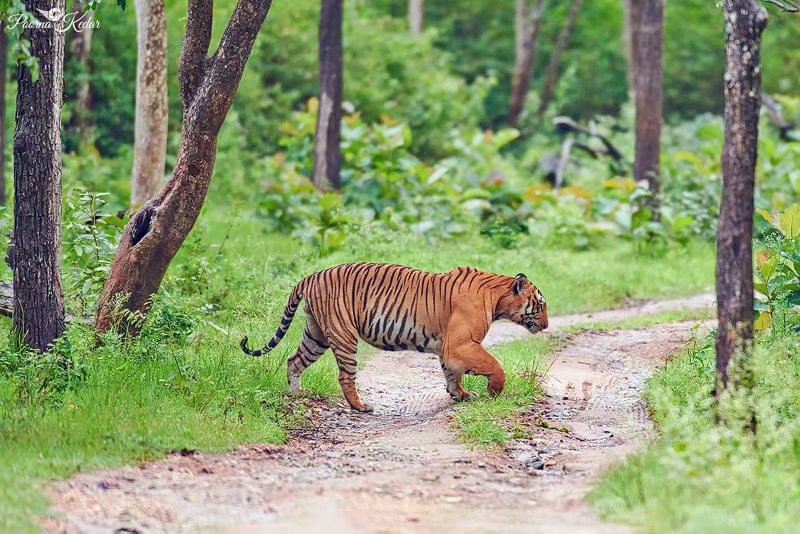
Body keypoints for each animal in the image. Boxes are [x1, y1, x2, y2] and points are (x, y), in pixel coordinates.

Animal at [241, 264, 548, 414]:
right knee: (345, 375)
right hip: (343, 334)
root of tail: (310, 276)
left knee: (294, 361)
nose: (546, 325)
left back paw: (296, 394)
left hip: (316, 335)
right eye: (541, 304)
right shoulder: (460, 344)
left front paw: (459, 394)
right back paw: (361, 407)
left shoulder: (448, 348)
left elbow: (452, 373)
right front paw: (494, 391)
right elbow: (493, 365)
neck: (497, 299)